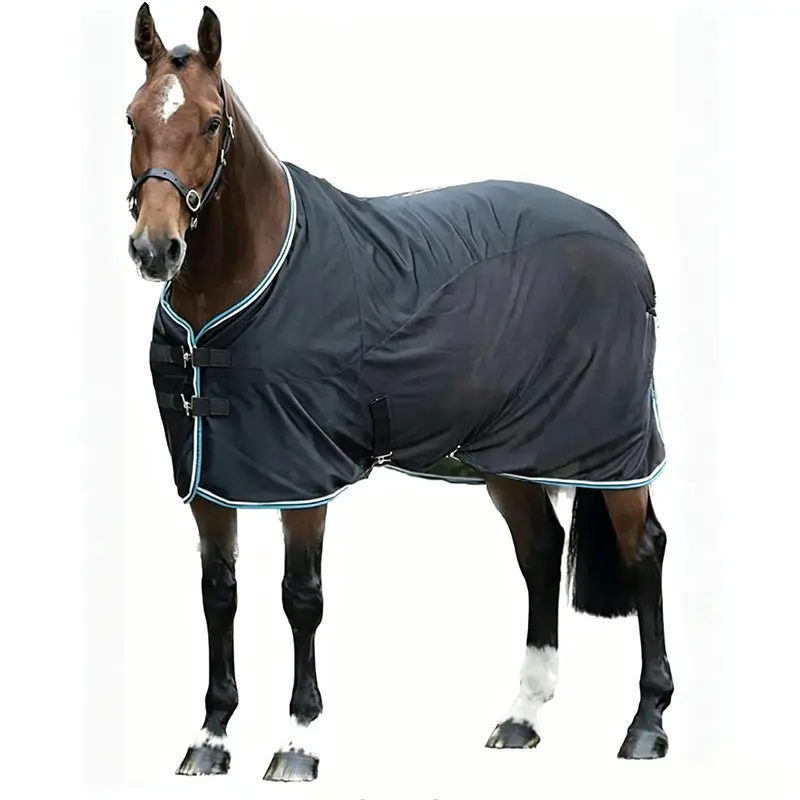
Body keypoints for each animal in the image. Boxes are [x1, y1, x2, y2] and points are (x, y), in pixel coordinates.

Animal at [125, 3, 674, 781]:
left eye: (208, 122)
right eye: (132, 117)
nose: (155, 249)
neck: (247, 286)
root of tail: (621, 240)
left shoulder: (304, 479)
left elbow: (301, 599)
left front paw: (297, 742)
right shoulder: (211, 480)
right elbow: (218, 597)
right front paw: (211, 736)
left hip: (610, 446)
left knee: (644, 551)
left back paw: (647, 723)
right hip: (508, 454)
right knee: (541, 551)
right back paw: (521, 717)